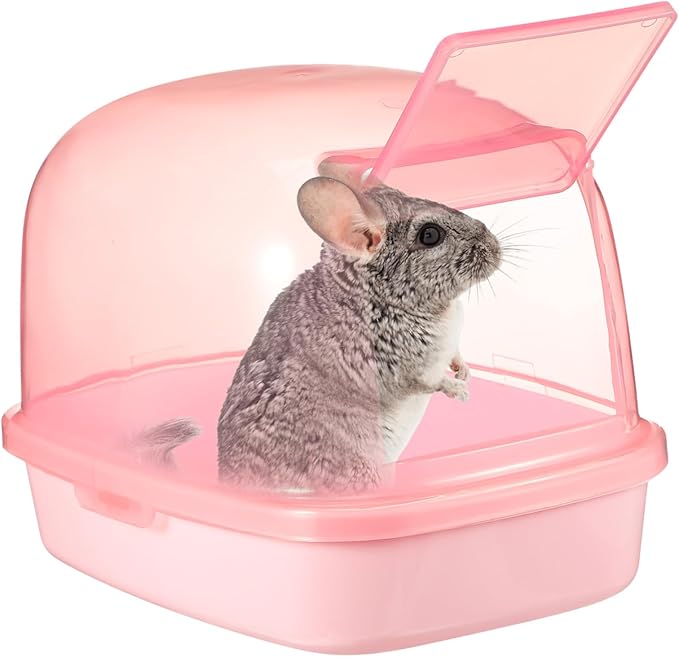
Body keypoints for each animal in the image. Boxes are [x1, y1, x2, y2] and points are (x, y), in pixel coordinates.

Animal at [140, 162, 501, 493]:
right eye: (430, 235)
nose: (496, 247)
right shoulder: (402, 364)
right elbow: (430, 381)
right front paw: (461, 391)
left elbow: (454, 355)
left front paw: (465, 371)